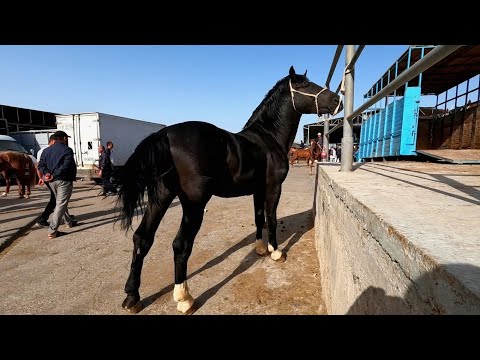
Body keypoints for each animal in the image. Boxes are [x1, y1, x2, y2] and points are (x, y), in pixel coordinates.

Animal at [116, 66, 342, 314]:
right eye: (305, 85)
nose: (337, 100)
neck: (268, 138)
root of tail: (165, 134)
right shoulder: (273, 187)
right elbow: (272, 218)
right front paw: (275, 252)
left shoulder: (257, 190)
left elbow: (259, 218)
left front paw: (260, 248)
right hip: (193, 204)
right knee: (180, 245)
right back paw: (184, 298)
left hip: (160, 197)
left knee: (142, 238)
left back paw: (132, 296)